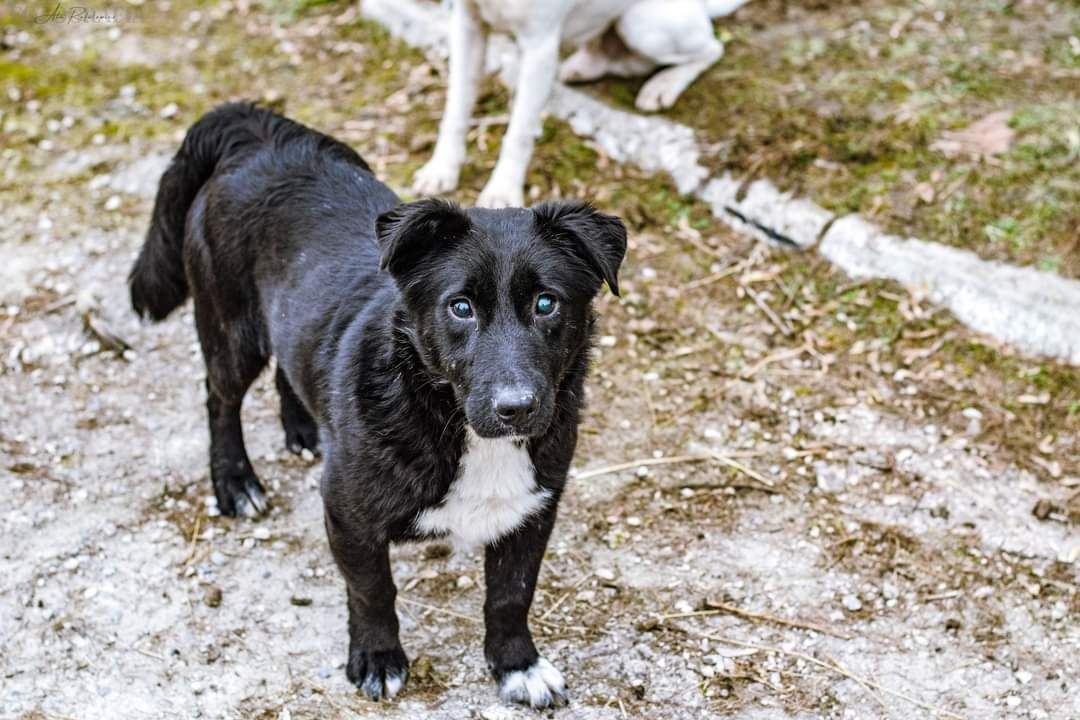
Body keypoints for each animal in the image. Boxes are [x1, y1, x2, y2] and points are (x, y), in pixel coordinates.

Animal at [128, 104, 626, 708]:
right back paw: (235, 482)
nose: (517, 408)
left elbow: (511, 595)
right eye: (460, 307)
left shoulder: (532, 513)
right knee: (219, 399)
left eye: (547, 303)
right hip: (231, 333)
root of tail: (256, 131)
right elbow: (373, 591)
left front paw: (518, 665)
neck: (448, 418)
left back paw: (305, 428)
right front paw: (377, 658)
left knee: (290, 364)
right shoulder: (348, 513)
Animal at [410, 0, 751, 207]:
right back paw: (580, 67)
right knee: (613, 55)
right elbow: (456, 108)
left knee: (712, 49)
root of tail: (701, 7)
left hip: (644, 25)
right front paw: (442, 168)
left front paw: (502, 190)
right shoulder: (466, 24)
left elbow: (519, 132)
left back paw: (663, 85)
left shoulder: (540, 46)